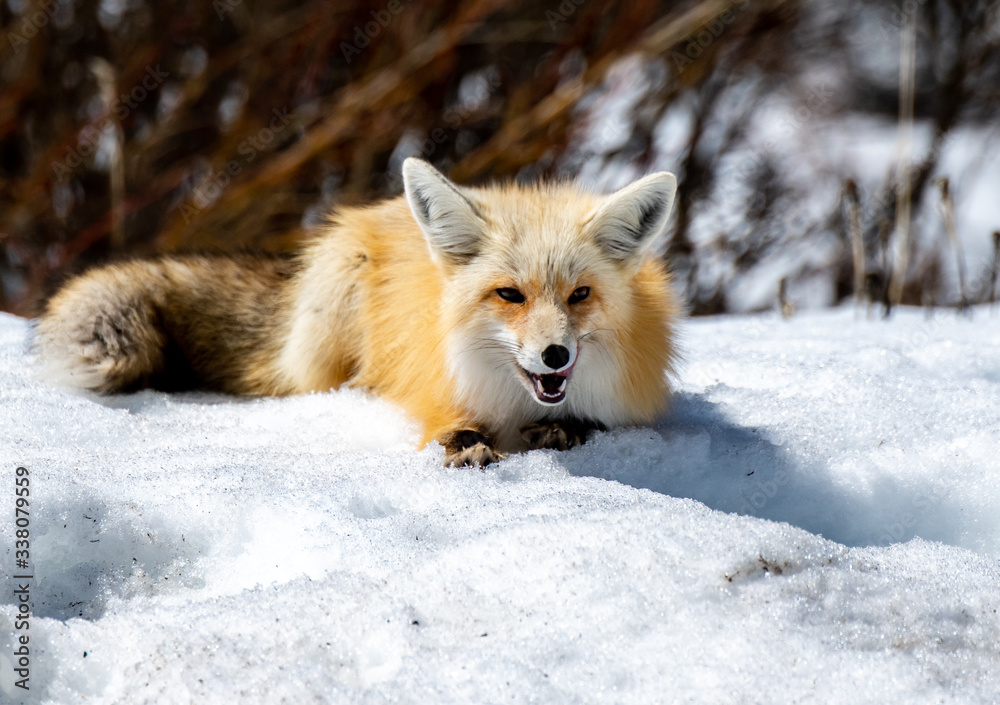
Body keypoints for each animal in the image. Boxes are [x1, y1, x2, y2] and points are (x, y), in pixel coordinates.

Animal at [37, 160, 680, 468]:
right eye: (510, 295)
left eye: (580, 295)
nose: (555, 354)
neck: (520, 402)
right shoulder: (438, 386)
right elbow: (449, 425)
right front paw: (466, 445)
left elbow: (591, 423)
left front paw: (566, 429)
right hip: (343, 293)